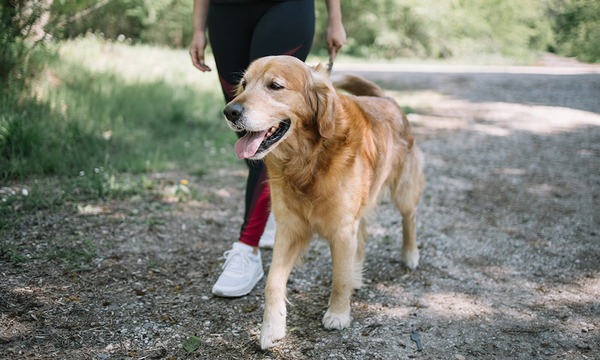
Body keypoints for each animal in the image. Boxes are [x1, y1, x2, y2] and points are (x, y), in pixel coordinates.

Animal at [223, 56, 424, 348]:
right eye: (244, 85)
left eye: (275, 86)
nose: (230, 112)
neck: (307, 160)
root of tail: (388, 100)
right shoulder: (290, 227)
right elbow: (273, 282)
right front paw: (271, 328)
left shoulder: (341, 228)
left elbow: (338, 278)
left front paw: (338, 314)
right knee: (362, 237)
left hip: (404, 190)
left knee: (409, 219)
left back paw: (410, 255)